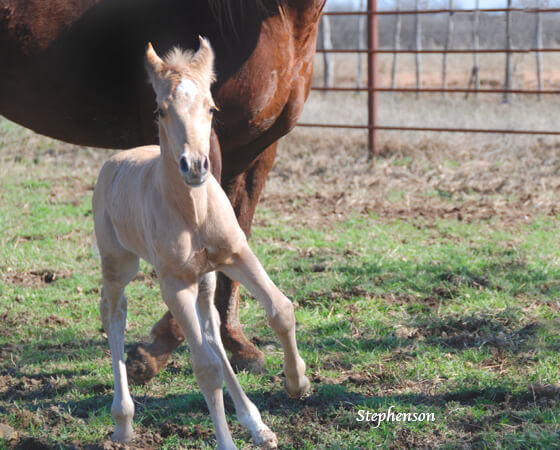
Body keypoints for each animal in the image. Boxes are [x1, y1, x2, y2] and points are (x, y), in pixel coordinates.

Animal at [93, 37, 310, 446]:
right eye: (160, 110)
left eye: (211, 107)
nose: (194, 166)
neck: (194, 211)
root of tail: (115, 161)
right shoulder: (174, 284)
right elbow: (205, 369)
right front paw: (227, 443)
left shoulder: (236, 255)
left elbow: (280, 310)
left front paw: (297, 383)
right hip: (119, 263)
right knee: (115, 312)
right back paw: (123, 421)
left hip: (205, 278)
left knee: (210, 327)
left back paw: (258, 425)